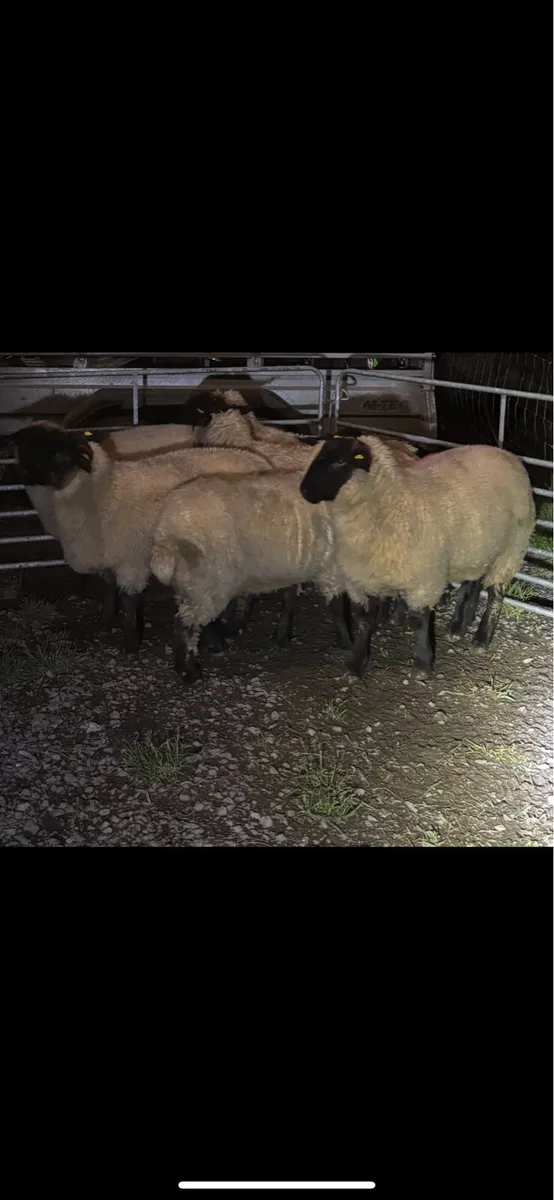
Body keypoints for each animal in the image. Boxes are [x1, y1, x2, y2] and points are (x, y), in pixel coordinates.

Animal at [13, 420, 282, 655]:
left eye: (60, 454)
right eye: (24, 450)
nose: (20, 474)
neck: (106, 491)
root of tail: (257, 459)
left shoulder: (131, 561)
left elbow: (130, 602)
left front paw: (131, 644)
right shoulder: (107, 555)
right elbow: (108, 590)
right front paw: (105, 623)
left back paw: (238, 627)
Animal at [299, 434, 536, 677]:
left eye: (339, 462)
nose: (304, 491)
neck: (393, 501)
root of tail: (509, 456)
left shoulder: (424, 578)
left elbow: (419, 621)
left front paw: (422, 664)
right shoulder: (363, 580)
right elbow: (364, 622)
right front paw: (356, 664)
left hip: (509, 550)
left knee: (496, 595)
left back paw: (481, 638)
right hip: (477, 549)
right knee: (473, 584)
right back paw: (459, 625)